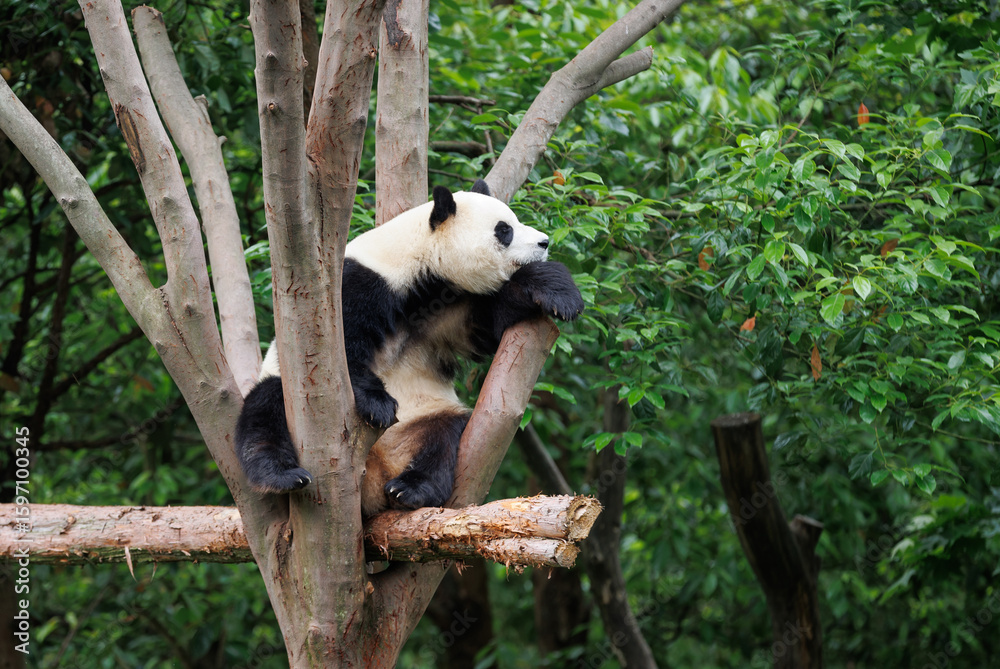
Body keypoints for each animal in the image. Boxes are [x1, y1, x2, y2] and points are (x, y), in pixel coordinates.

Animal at [234, 180, 584, 517]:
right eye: (504, 230)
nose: (544, 242)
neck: (419, 267)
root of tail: (375, 475)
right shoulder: (358, 284)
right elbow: (340, 349)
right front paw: (377, 404)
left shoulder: (449, 307)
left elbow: (489, 323)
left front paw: (557, 291)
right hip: (287, 395)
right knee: (265, 411)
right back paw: (281, 476)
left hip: (427, 414)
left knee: (445, 435)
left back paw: (412, 488)